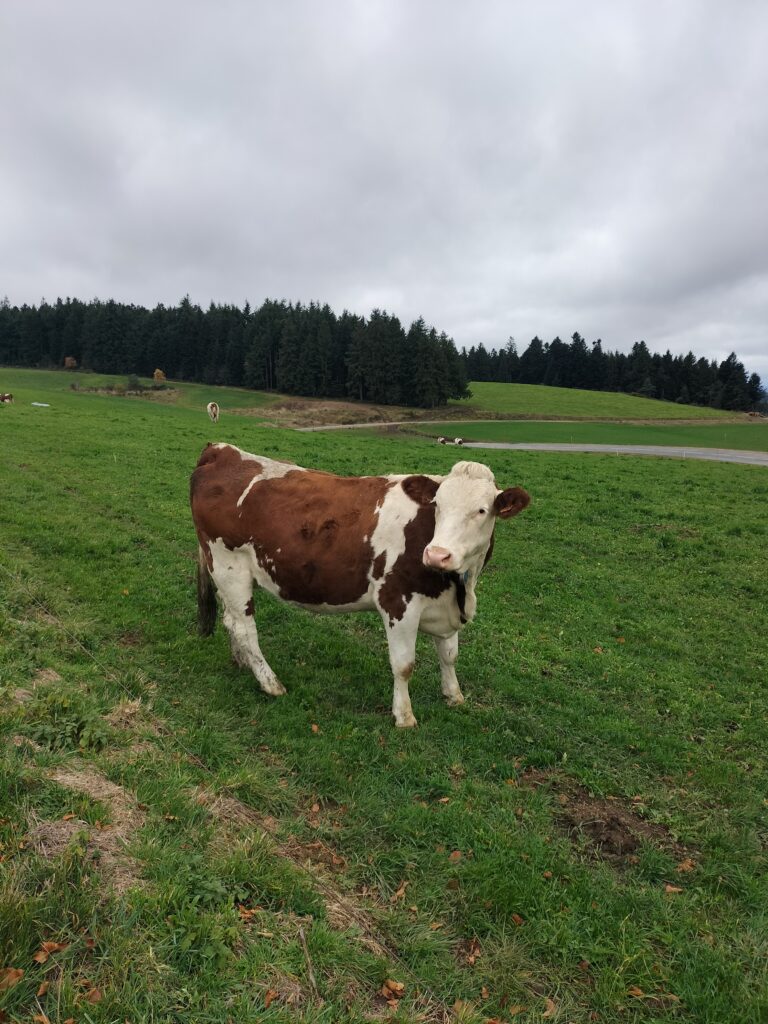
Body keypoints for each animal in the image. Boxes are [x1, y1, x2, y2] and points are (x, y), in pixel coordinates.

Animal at [190, 444, 530, 727]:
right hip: (228, 566)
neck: (459, 587)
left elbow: (449, 655)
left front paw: (454, 696)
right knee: (245, 628)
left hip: (227, 572)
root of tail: (221, 450)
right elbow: (404, 664)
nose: (437, 554)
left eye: (482, 510)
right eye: (437, 506)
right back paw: (270, 682)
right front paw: (404, 716)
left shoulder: (446, 606)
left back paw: (242, 662)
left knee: (230, 620)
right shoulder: (398, 602)